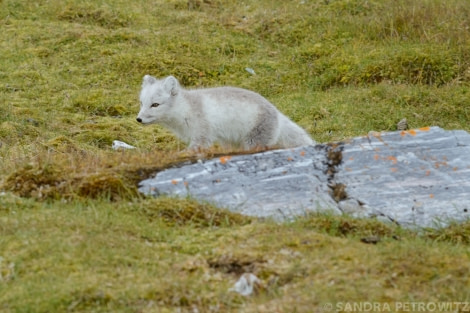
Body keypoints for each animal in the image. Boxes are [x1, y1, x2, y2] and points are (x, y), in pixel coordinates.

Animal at [136, 74, 314, 150]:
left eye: (155, 104)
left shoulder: (202, 133)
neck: (185, 109)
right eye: (142, 103)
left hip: (253, 140)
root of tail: (277, 112)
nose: (138, 119)